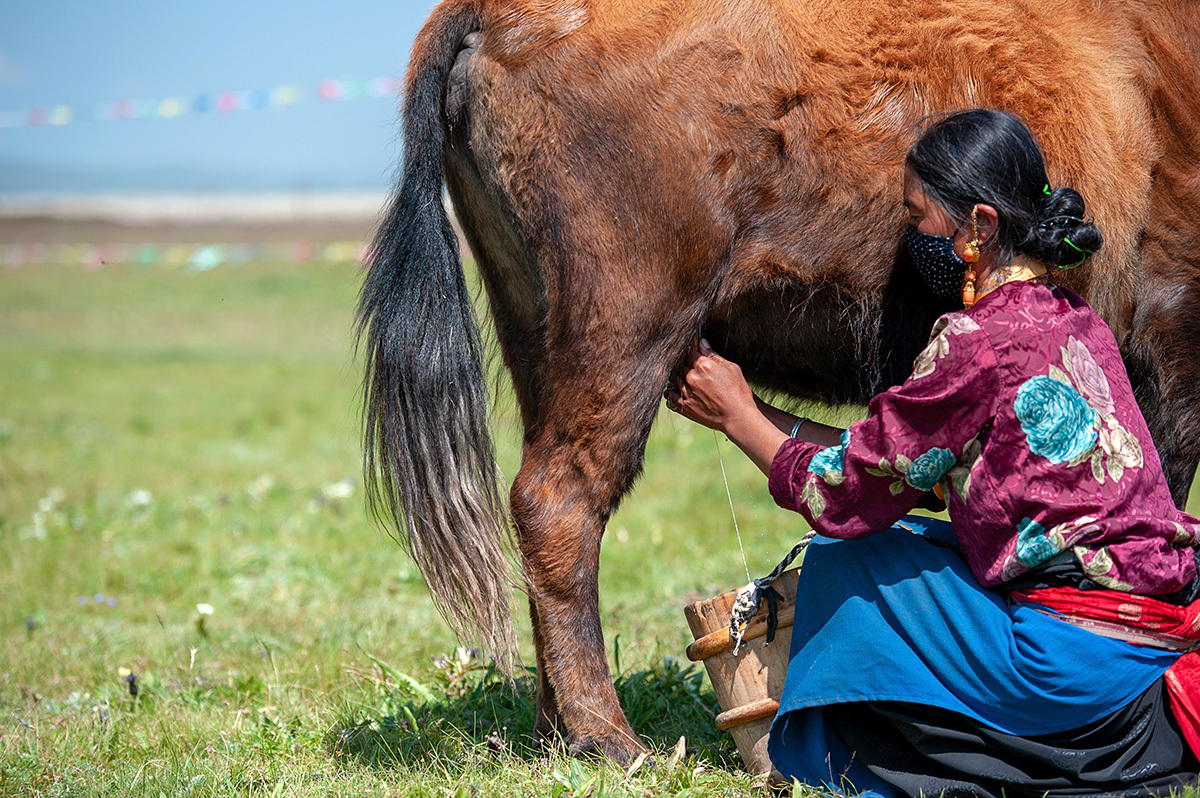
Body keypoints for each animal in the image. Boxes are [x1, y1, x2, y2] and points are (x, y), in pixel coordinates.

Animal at [357, 0, 1200, 758]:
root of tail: (498, 14)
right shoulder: (1170, 349)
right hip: (623, 333)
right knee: (557, 501)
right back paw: (614, 742)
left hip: (537, 334)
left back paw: (557, 735)